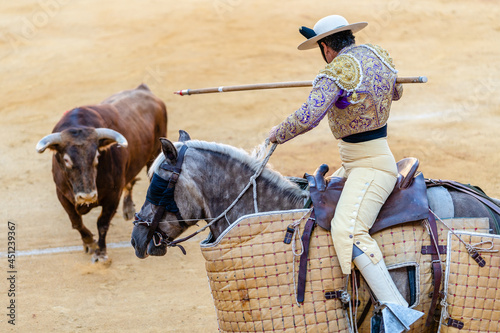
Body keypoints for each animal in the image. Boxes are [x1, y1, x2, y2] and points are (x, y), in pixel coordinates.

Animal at [36, 84, 168, 260]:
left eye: (97, 156)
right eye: (66, 160)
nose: (87, 196)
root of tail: (143, 89)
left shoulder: (112, 196)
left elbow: (102, 223)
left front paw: (101, 252)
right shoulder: (62, 194)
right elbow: (76, 221)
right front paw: (89, 243)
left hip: (154, 155)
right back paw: (128, 209)